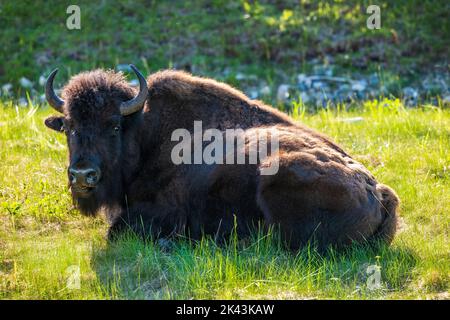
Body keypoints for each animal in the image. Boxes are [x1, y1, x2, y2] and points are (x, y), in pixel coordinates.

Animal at [44, 65, 400, 250]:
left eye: (114, 125)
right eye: (69, 126)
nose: (82, 175)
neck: (145, 129)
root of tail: (378, 191)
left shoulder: (160, 211)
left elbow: (116, 230)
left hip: (277, 177)